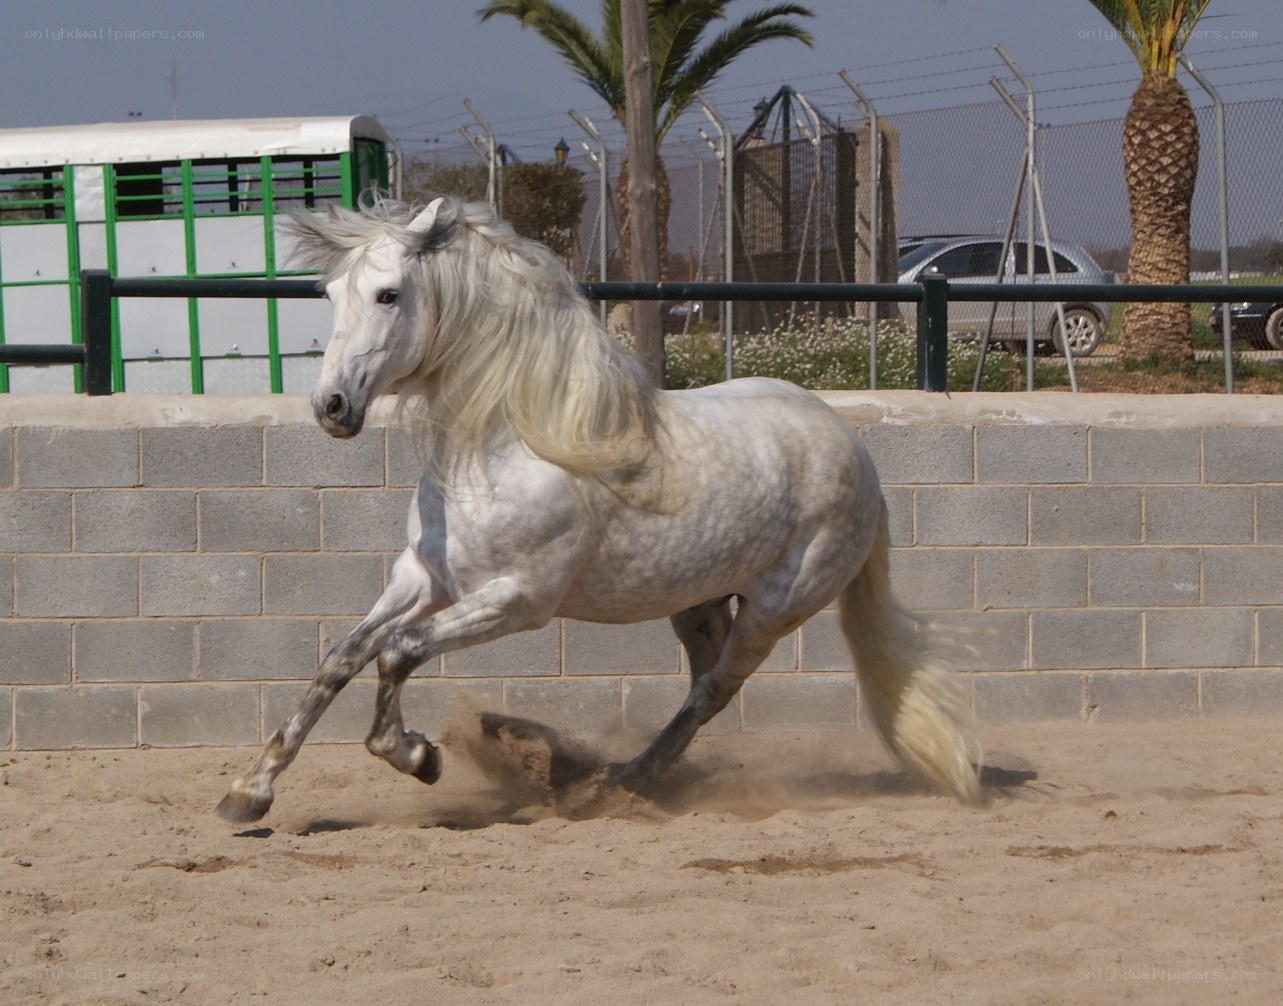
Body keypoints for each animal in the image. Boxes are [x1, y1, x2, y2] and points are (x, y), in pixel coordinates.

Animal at [216, 196, 981, 823]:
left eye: (387, 293)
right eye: (330, 291)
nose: (331, 407)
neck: (509, 445)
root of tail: (856, 450)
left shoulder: (518, 600)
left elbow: (397, 653)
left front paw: (416, 755)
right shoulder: (424, 578)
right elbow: (342, 658)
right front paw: (250, 792)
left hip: (775, 609)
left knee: (714, 691)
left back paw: (623, 783)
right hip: (698, 601)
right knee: (702, 683)